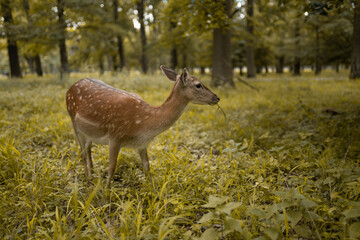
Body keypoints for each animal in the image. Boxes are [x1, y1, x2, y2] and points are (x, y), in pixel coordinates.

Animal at [66, 66, 221, 188]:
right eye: (198, 85)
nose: (217, 97)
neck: (143, 125)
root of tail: (71, 87)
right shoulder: (115, 135)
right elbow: (112, 166)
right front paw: (107, 193)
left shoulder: (142, 144)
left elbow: (147, 166)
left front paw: (152, 191)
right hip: (73, 120)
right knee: (82, 154)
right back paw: (88, 182)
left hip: (89, 132)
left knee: (88, 150)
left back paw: (92, 176)